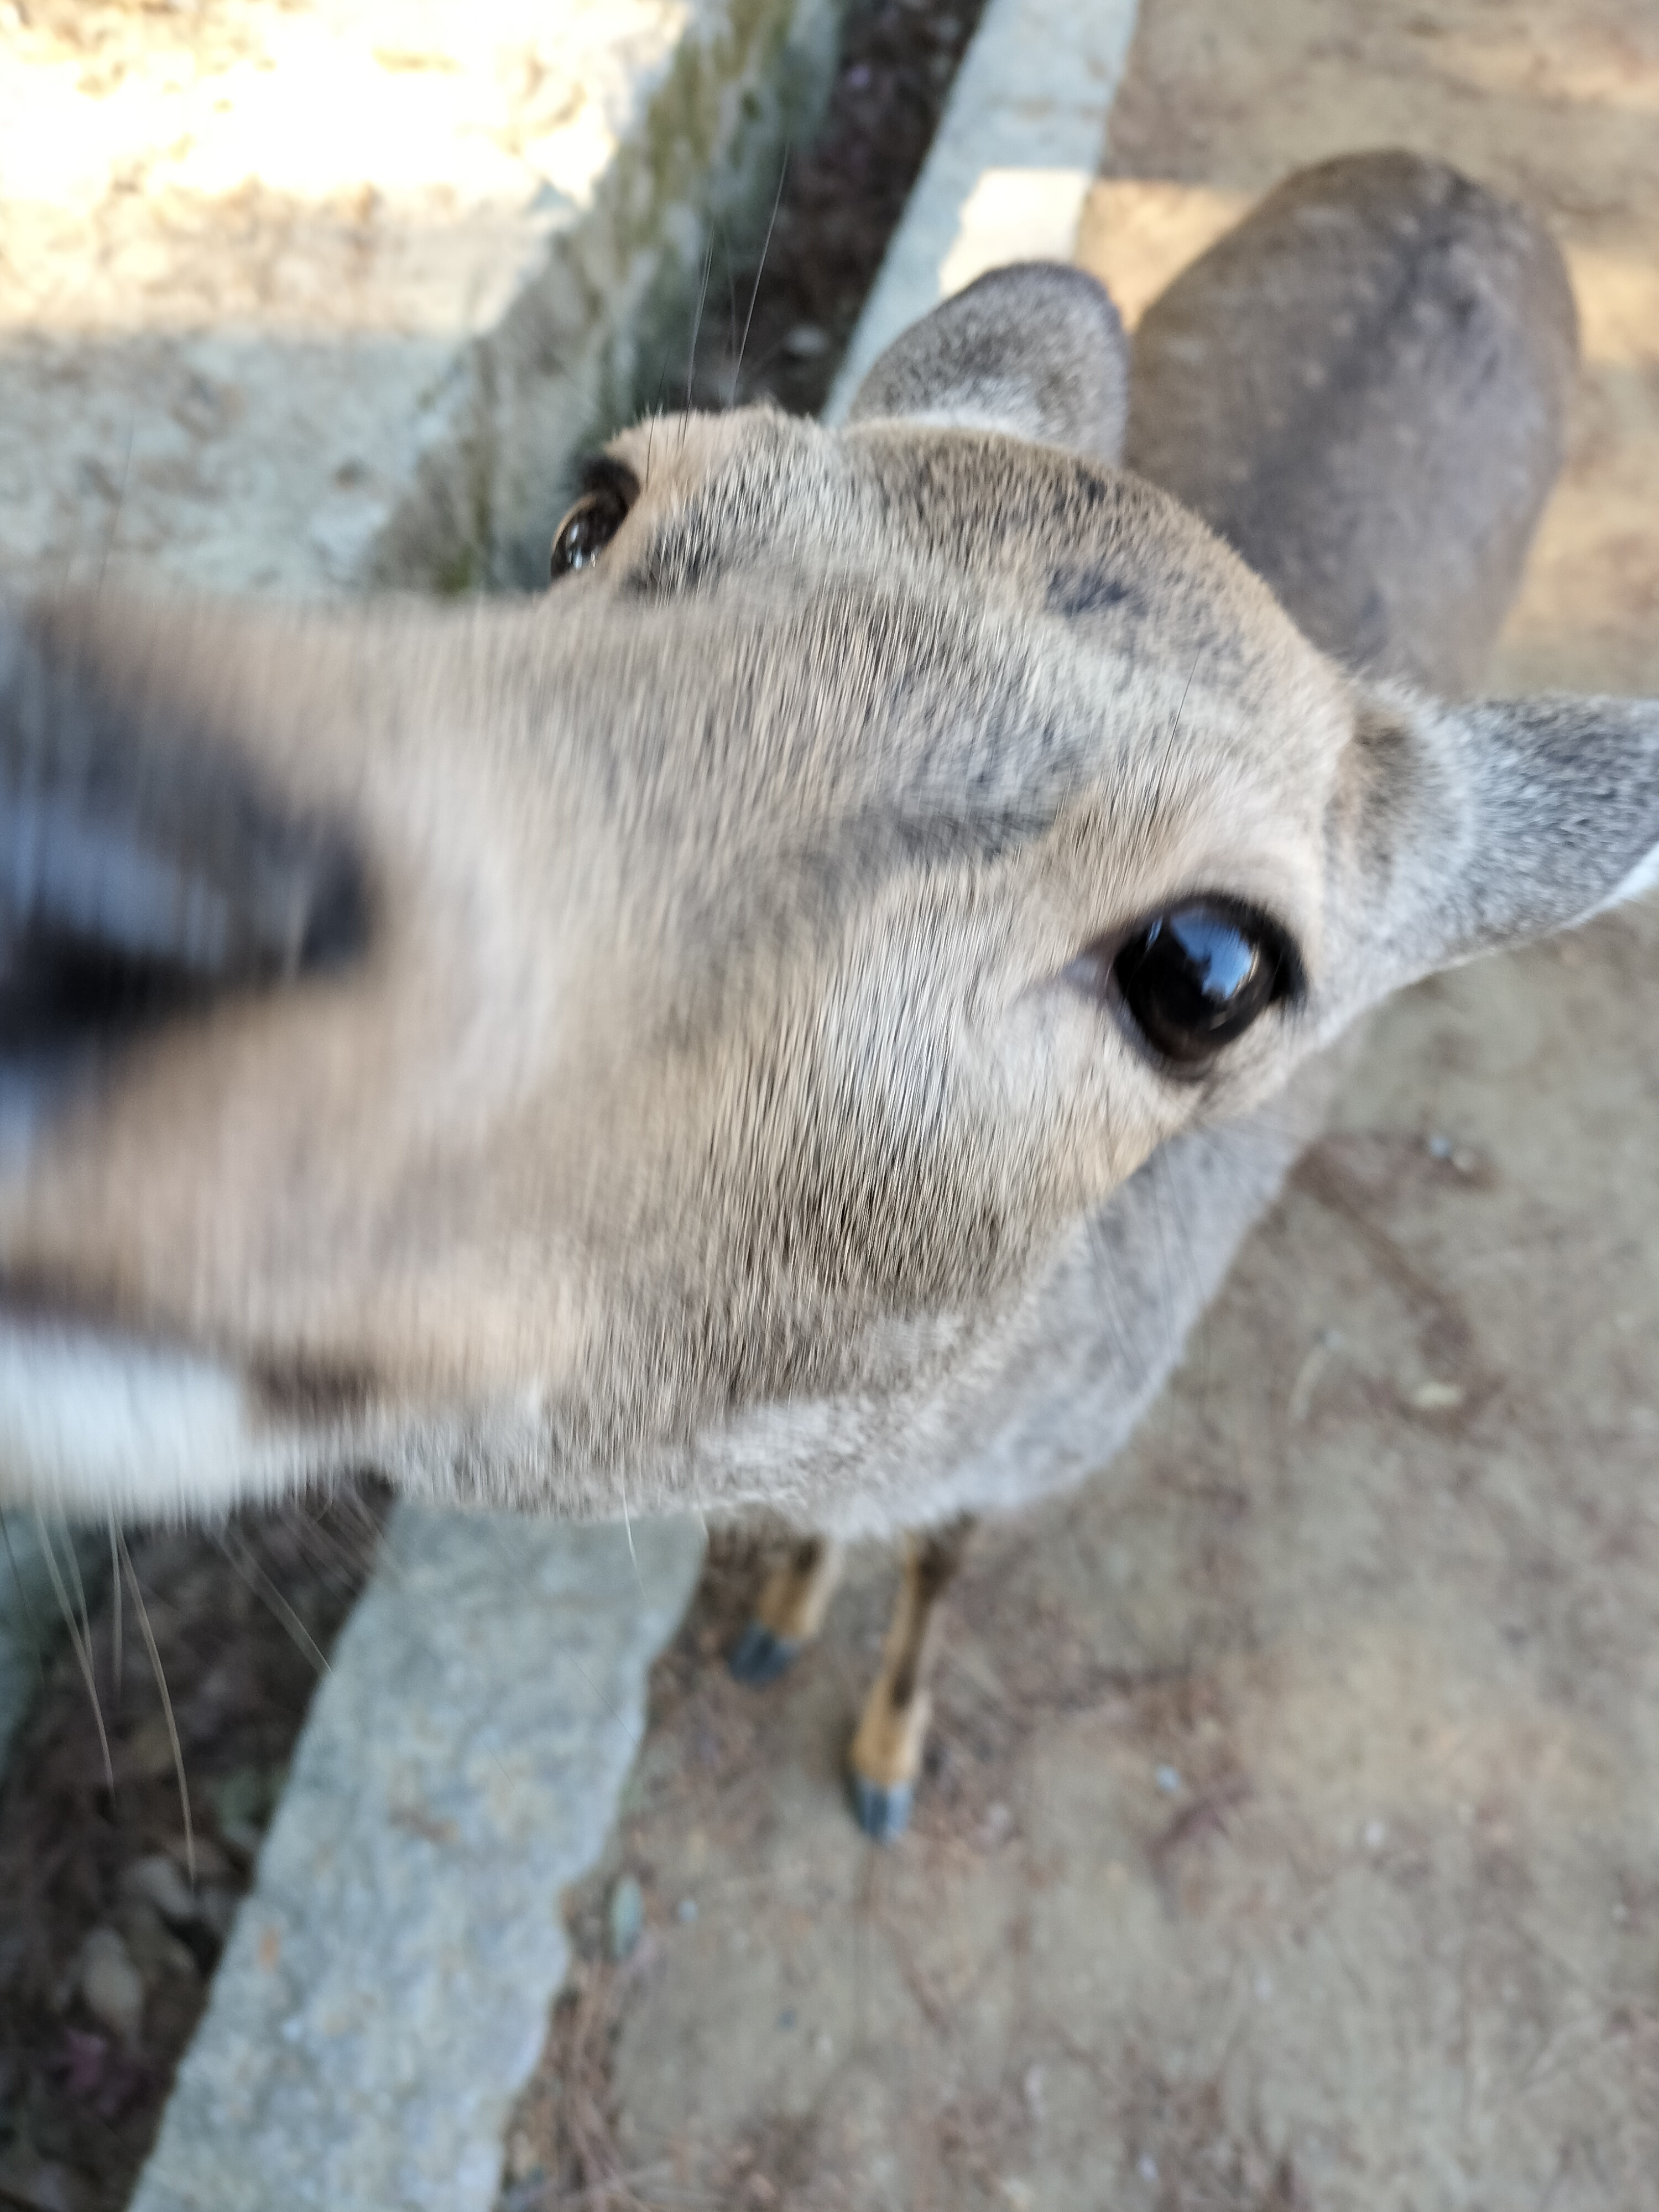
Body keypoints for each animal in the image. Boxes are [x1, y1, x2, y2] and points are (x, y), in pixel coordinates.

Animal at [1, 150, 1653, 1838]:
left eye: (1211, 970)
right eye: (592, 510)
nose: (80, 823)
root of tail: (1456, 174)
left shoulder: (1042, 1456)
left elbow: (946, 1556)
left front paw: (881, 1755)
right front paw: (781, 1619)